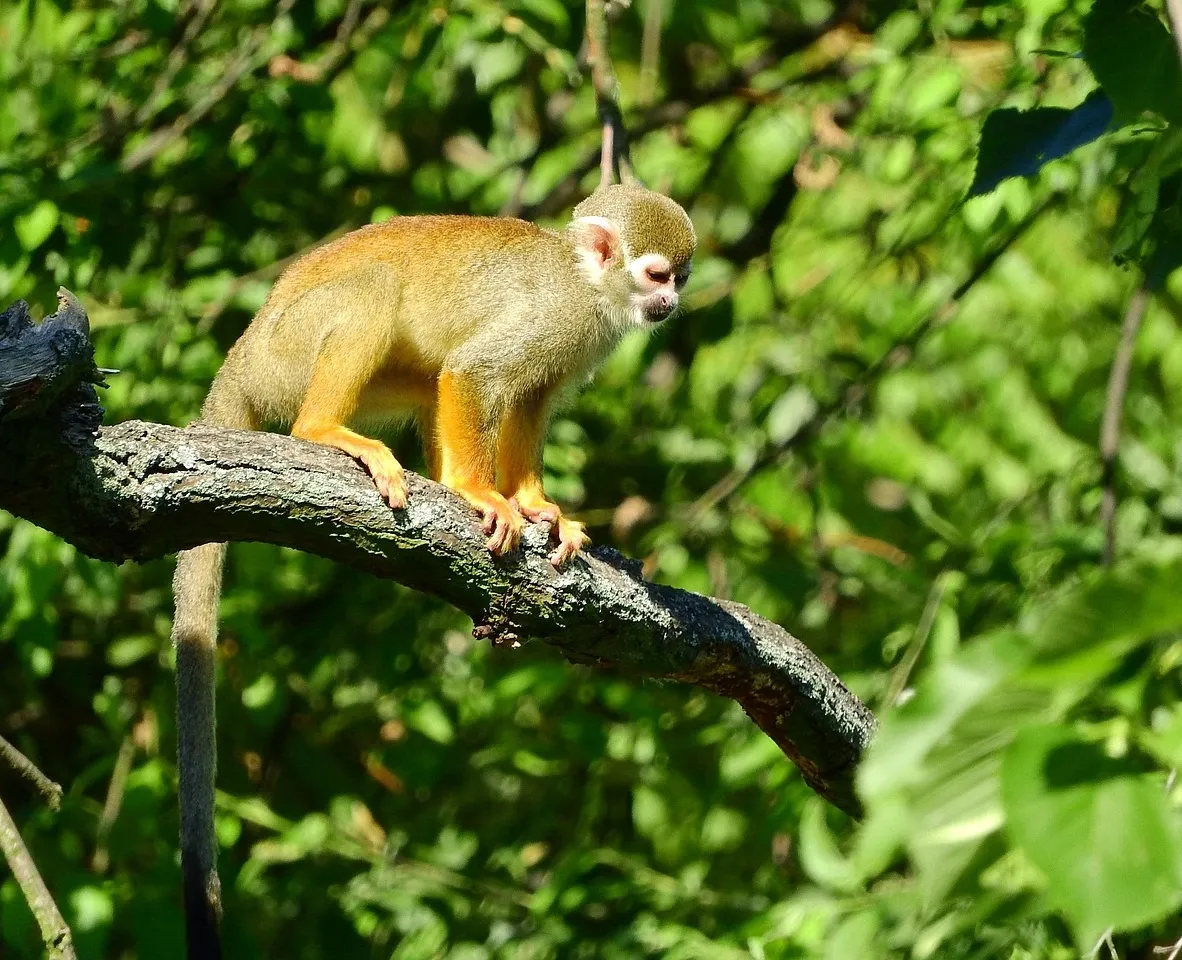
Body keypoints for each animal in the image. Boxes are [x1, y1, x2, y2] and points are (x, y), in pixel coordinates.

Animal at [170, 182, 696, 958]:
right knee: (378, 295)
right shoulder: (553, 315)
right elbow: (476, 373)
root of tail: (240, 357)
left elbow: (530, 398)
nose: (669, 304)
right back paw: (328, 432)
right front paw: (484, 493)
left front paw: (537, 506)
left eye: (679, 278)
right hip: (286, 355)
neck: (585, 283)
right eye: (657, 274)